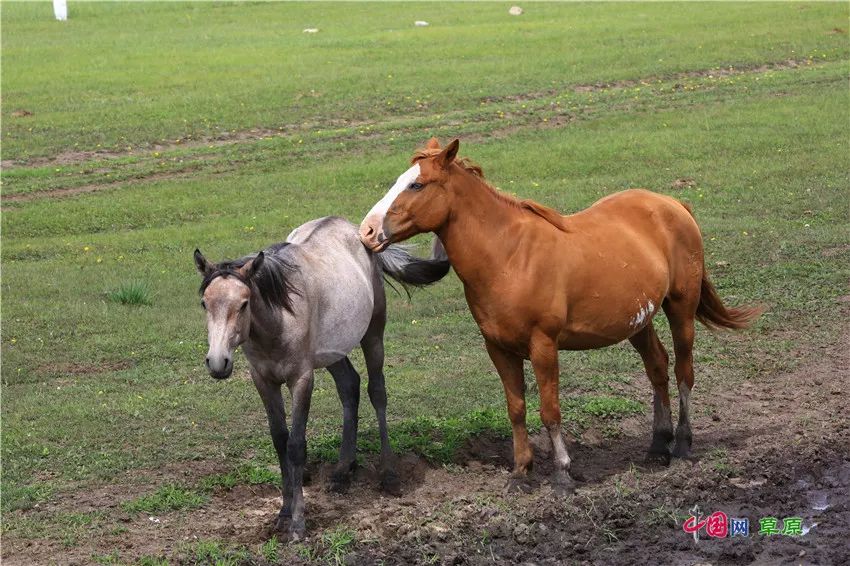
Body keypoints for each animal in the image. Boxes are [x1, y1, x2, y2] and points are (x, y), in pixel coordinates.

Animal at [190, 217, 448, 540]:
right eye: (204, 303)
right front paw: (283, 512)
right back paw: (342, 472)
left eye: (244, 303)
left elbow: (296, 446)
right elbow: (280, 441)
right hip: (334, 352)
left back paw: (389, 475)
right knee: (350, 387)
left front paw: (298, 523)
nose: (217, 362)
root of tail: (358, 232)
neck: (279, 318)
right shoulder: (263, 380)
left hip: (373, 335)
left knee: (377, 392)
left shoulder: (301, 379)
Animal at [358, 140, 760, 494]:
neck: (509, 256)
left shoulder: (543, 346)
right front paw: (521, 473)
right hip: (638, 321)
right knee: (658, 368)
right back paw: (657, 446)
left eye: (416, 184)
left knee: (682, 372)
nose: (367, 231)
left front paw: (562, 475)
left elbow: (550, 411)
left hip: (680, 308)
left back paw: (681, 446)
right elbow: (516, 409)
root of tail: (672, 203)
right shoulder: (498, 349)